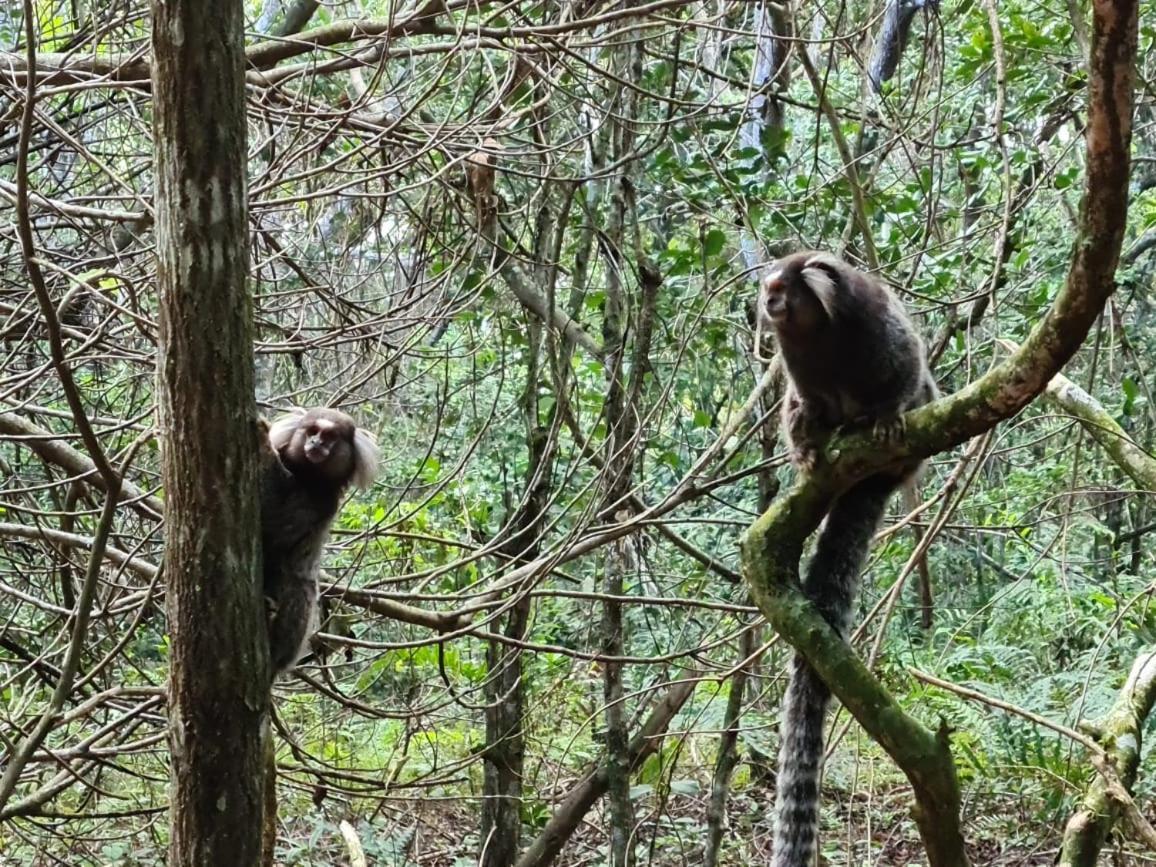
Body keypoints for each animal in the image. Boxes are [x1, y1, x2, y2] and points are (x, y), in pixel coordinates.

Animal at [260, 406, 376, 679]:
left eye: (330, 436)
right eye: (312, 431)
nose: (315, 443)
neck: (306, 477)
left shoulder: (322, 503)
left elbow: (273, 522)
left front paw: (262, 438)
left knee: (298, 585)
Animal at [758, 253, 938, 867]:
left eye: (782, 288)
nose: (767, 303)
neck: (821, 333)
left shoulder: (879, 327)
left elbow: (908, 365)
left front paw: (884, 414)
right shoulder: (798, 365)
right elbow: (806, 400)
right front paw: (810, 442)